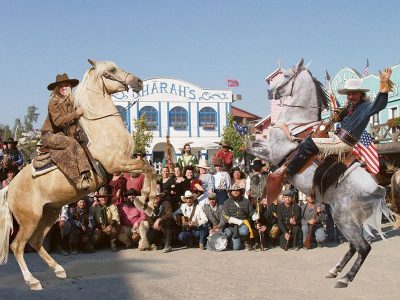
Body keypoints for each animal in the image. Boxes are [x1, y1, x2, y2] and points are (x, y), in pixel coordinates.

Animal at [0, 59, 159, 290]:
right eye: (111, 70)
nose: (137, 81)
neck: (99, 129)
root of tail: (10, 188)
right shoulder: (117, 164)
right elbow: (147, 167)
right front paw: (147, 200)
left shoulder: (123, 164)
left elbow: (147, 168)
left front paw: (146, 201)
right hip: (30, 219)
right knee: (17, 246)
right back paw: (32, 281)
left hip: (49, 213)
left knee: (36, 241)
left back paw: (58, 270)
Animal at [248, 58, 398, 288]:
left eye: (285, 76)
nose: (270, 92)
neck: (296, 125)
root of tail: (378, 190)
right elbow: (249, 145)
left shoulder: (273, 152)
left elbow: (251, 147)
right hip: (348, 220)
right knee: (354, 246)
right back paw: (334, 270)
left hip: (343, 218)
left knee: (363, 247)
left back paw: (345, 278)